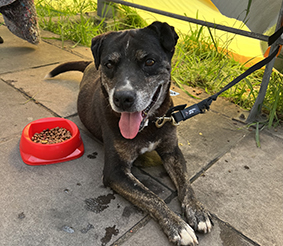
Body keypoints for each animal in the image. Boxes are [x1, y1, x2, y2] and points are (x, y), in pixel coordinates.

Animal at [46, 21, 212, 246]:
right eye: (109, 64)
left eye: (149, 61)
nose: (123, 98)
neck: (150, 124)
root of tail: (89, 65)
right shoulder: (115, 171)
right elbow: (151, 196)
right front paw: (178, 226)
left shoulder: (172, 151)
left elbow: (186, 182)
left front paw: (198, 211)